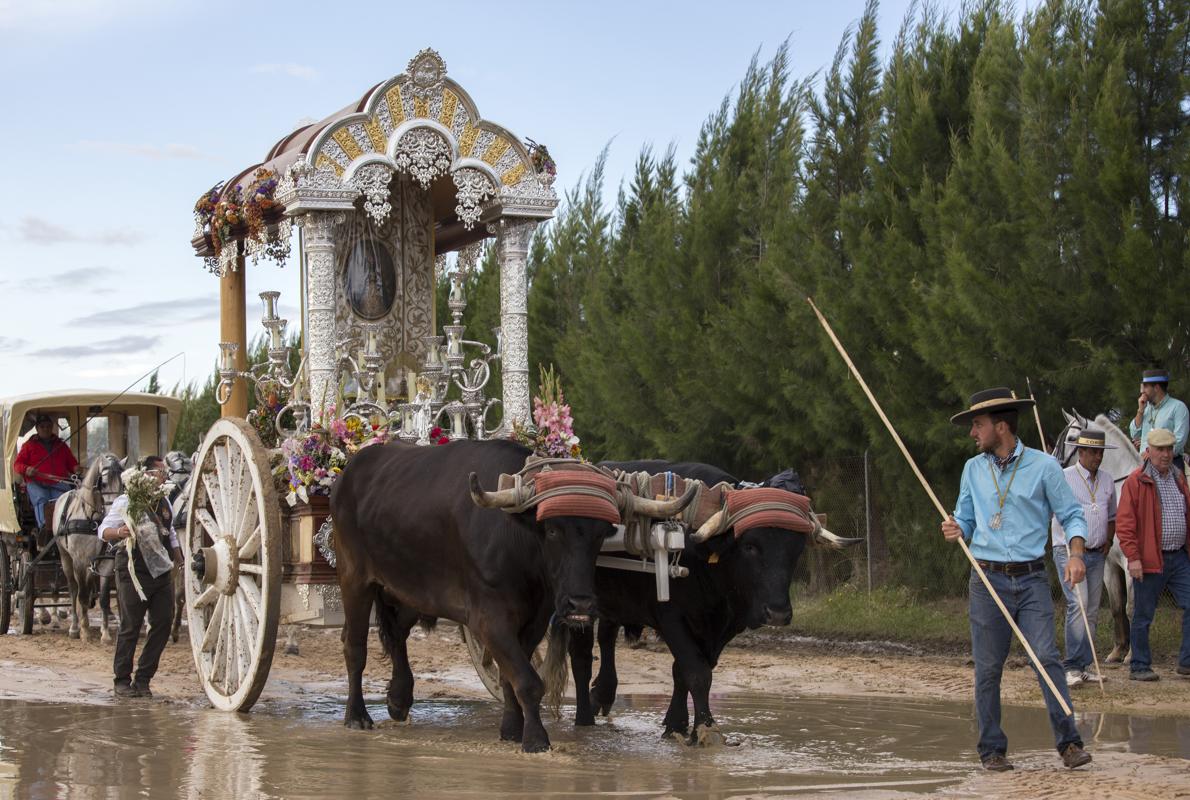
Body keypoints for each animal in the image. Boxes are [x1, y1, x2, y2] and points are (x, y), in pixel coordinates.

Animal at [51, 452, 124, 642]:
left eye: (122, 484)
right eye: (103, 483)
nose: (115, 513)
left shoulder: (106, 561)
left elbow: (104, 598)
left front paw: (105, 633)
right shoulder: (79, 560)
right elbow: (82, 595)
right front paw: (83, 630)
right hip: (66, 558)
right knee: (74, 589)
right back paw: (75, 626)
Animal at [1056, 411, 1137, 661]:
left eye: (1072, 437)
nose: (1054, 462)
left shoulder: (1131, 563)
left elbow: (1132, 607)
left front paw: (1131, 655)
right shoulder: (1109, 563)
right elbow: (1117, 607)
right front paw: (1117, 652)